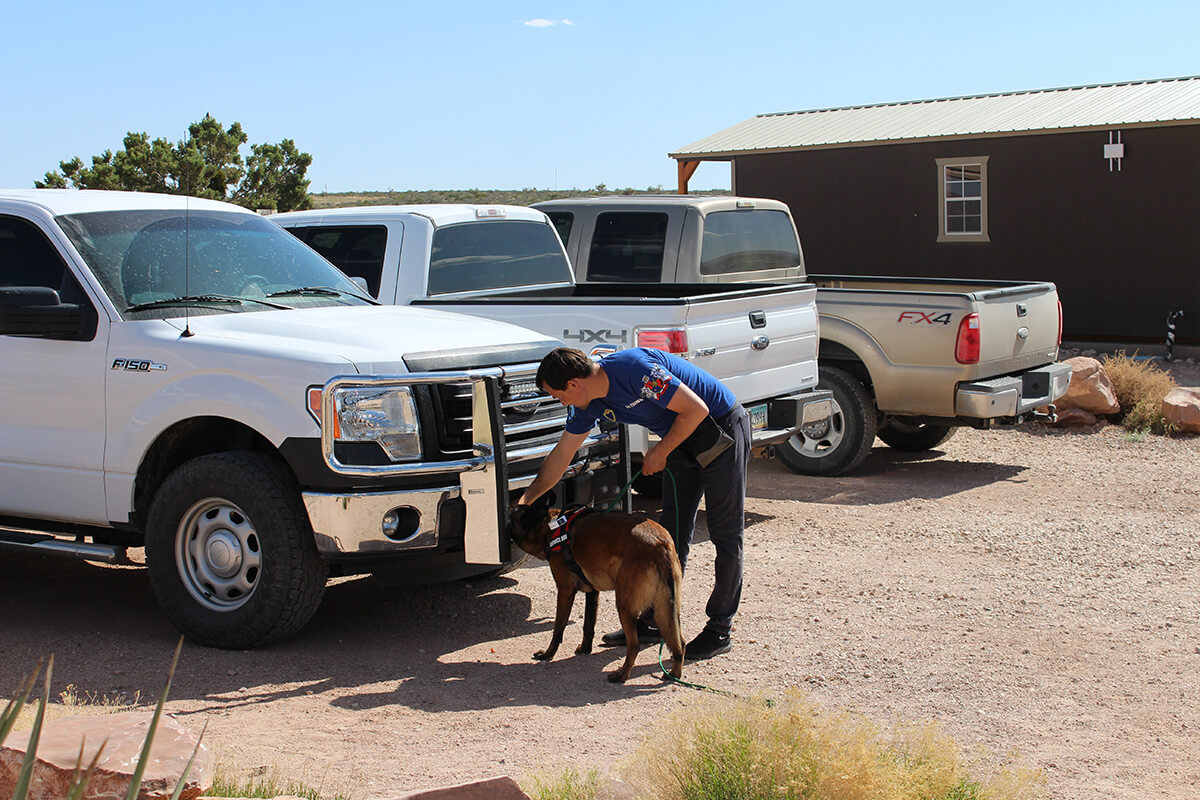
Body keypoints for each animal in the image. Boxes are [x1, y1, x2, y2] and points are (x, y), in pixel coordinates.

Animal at [508, 501, 686, 681]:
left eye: (514, 512)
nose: (509, 506)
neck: (551, 528)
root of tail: (660, 543)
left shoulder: (565, 591)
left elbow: (558, 628)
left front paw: (548, 654)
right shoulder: (592, 593)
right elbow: (588, 625)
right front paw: (585, 649)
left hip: (624, 606)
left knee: (634, 645)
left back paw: (621, 675)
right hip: (667, 610)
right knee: (680, 642)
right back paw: (674, 674)